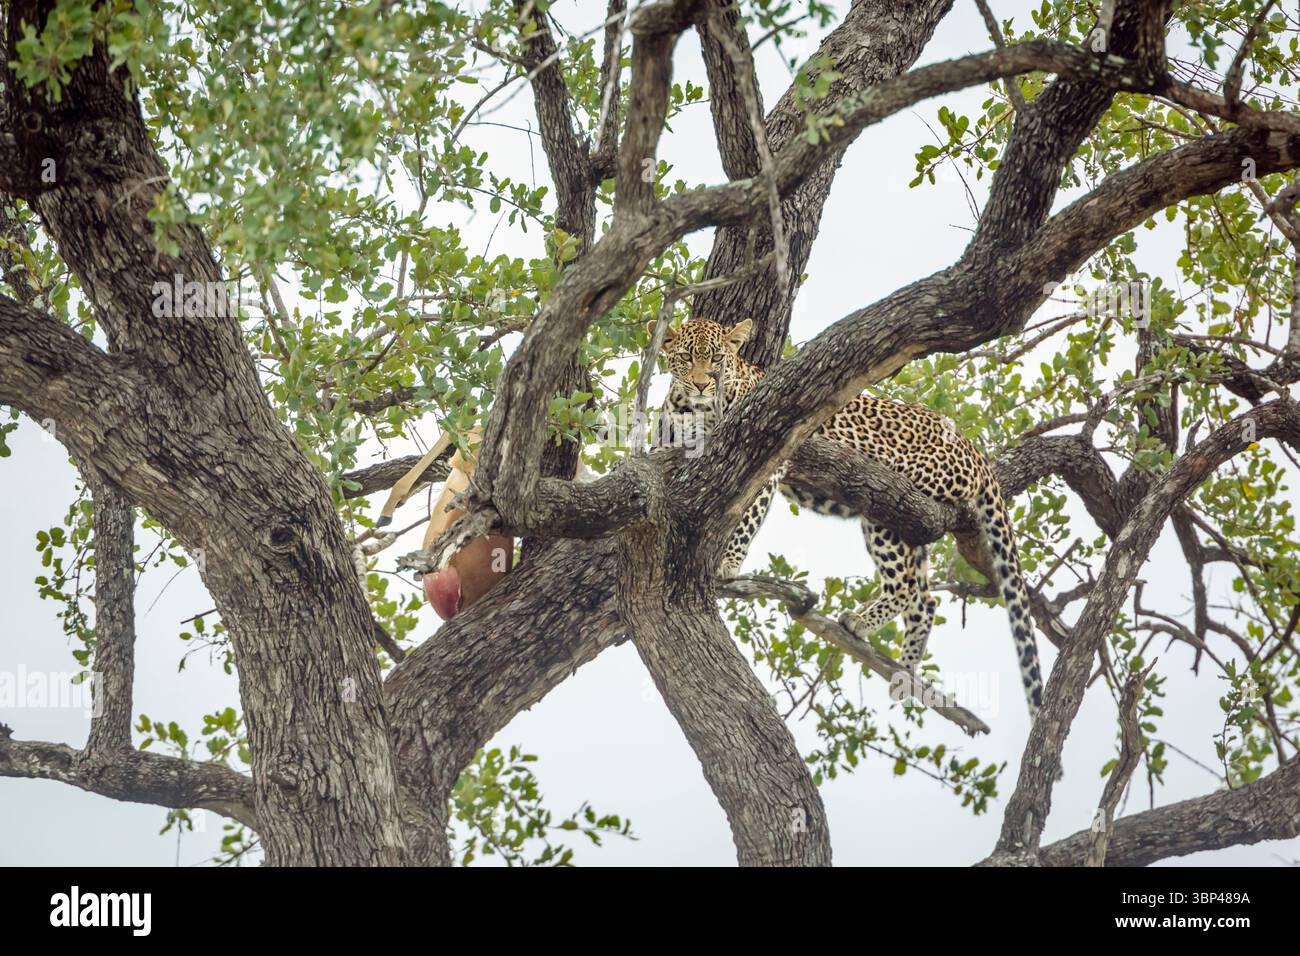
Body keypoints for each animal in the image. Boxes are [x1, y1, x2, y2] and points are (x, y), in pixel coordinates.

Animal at [650, 317, 1044, 719]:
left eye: (717, 360)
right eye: (686, 358)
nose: (702, 384)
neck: (692, 409)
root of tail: (970, 445)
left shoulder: (767, 459)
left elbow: (746, 515)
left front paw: (728, 562)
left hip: (890, 499)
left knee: (906, 585)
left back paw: (862, 624)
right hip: (911, 522)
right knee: (924, 598)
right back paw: (904, 672)